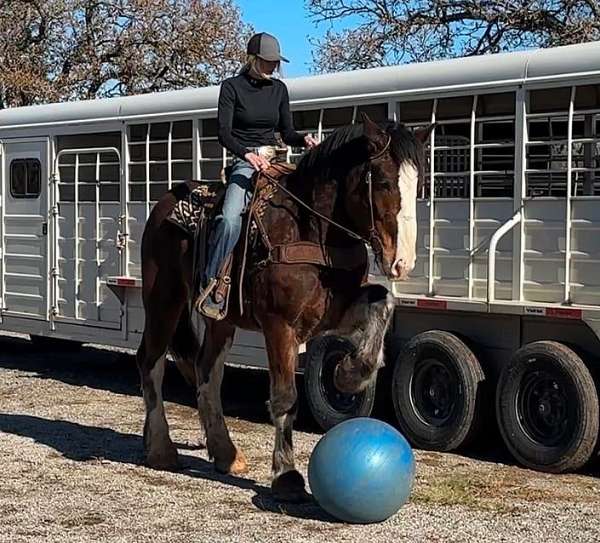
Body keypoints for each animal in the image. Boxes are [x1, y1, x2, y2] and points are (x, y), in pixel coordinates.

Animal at [136, 115, 432, 502]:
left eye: (419, 185)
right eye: (382, 181)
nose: (402, 263)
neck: (312, 229)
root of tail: (165, 204)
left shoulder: (332, 314)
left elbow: (383, 301)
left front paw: (349, 374)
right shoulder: (280, 326)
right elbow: (285, 398)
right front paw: (287, 476)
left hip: (220, 321)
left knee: (207, 371)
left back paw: (225, 453)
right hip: (164, 301)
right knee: (151, 362)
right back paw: (160, 448)